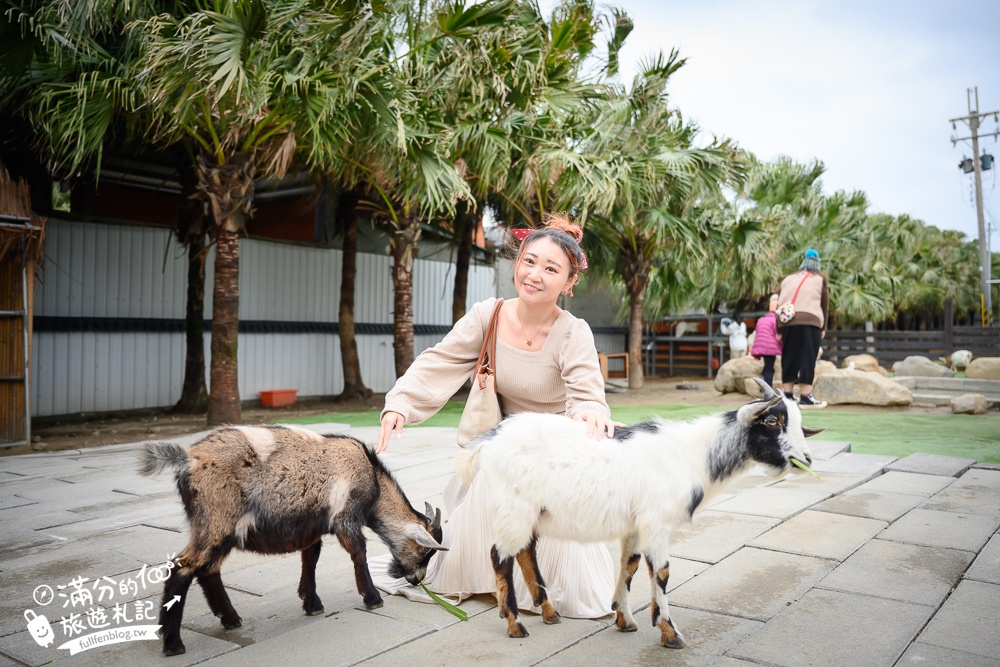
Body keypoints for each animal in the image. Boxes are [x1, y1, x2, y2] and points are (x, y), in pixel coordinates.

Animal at [139, 426, 444, 656]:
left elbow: (311, 558)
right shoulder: (345, 517)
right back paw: (173, 643)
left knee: (208, 569)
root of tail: (187, 458)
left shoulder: (312, 526)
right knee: (183, 566)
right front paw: (373, 598)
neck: (374, 480)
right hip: (216, 519)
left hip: (221, 529)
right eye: (424, 552)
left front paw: (312, 604)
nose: (417, 580)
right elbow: (358, 553)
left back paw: (230, 619)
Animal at [458, 380, 820, 648]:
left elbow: (629, 564)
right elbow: (661, 572)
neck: (692, 455)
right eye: (772, 421)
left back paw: (548, 611)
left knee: (525, 551)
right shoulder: (656, 522)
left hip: (530, 510)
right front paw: (670, 633)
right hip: (513, 506)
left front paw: (624, 617)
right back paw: (515, 624)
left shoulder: (635, 524)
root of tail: (490, 440)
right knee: (500, 557)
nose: (807, 459)